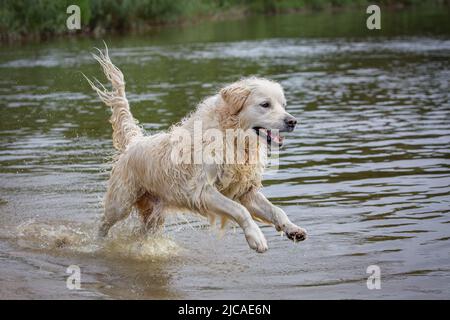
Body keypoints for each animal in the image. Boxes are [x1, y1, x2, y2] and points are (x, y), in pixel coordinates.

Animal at [85, 46, 306, 254]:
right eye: (265, 104)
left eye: (283, 105)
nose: (293, 121)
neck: (232, 137)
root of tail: (134, 141)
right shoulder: (202, 190)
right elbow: (240, 210)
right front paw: (256, 238)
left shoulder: (245, 191)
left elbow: (276, 210)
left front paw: (292, 229)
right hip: (120, 202)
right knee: (104, 223)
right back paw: (96, 244)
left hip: (154, 212)